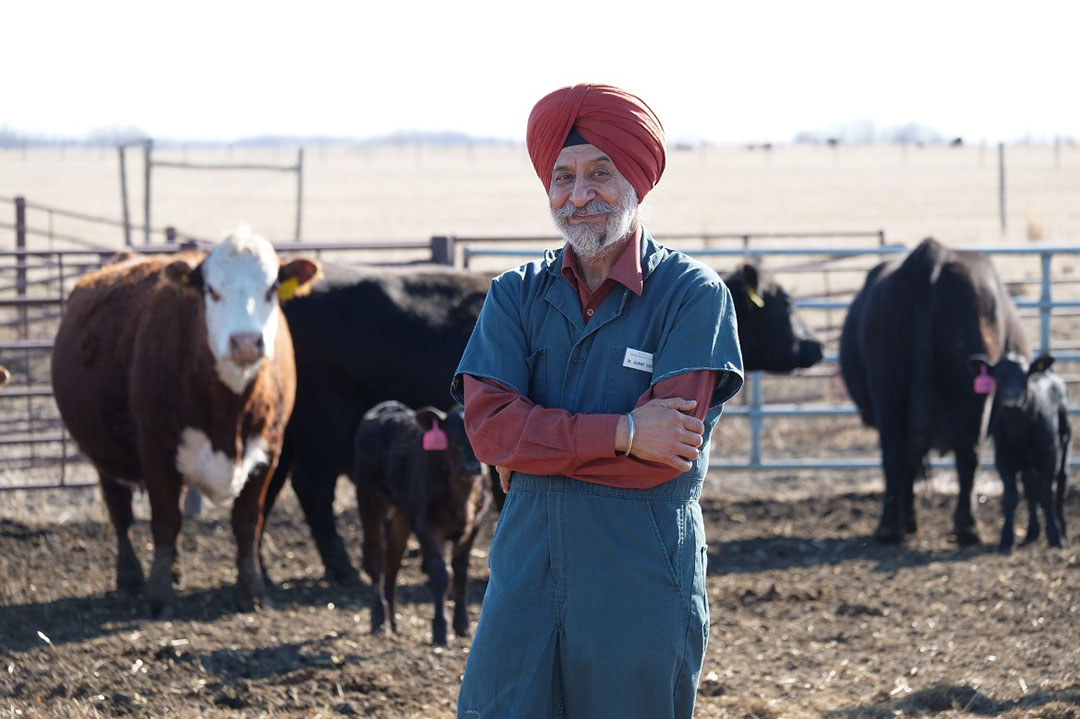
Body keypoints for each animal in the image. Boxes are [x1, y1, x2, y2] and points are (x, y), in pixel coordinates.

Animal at [51, 229, 320, 616]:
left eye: (271, 289)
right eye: (211, 290)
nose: (245, 342)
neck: (229, 412)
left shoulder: (269, 448)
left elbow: (247, 522)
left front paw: (252, 590)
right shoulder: (156, 449)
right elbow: (166, 521)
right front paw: (160, 595)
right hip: (103, 453)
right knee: (120, 511)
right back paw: (131, 576)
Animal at [352, 400, 491, 645]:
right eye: (452, 437)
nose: (472, 468)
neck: (463, 498)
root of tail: (385, 407)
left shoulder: (475, 525)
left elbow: (461, 573)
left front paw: (462, 625)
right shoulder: (427, 525)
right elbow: (441, 574)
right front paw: (440, 630)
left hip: (402, 513)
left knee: (394, 559)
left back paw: (393, 620)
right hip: (369, 498)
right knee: (376, 557)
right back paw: (379, 619)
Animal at [840, 237, 1029, 545]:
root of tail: (930, 255)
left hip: (889, 390)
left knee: (897, 453)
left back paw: (891, 527)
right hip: (969, 397)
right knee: (965, 455)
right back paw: (964, 527)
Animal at [971, 352, 1070, 552]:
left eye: (1025, 377)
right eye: (998, 378)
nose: (1011, 403)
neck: (1019, 433)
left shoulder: (1048, 457)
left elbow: (1047, 494)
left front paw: (1055, 536)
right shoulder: (1002, 460)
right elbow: (1011, 497)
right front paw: (1006, 539)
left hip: (1063, 445)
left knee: (1060, 484)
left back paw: (1061, 529)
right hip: (1027, 465)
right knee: (1030, 489)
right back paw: (1032, 531)